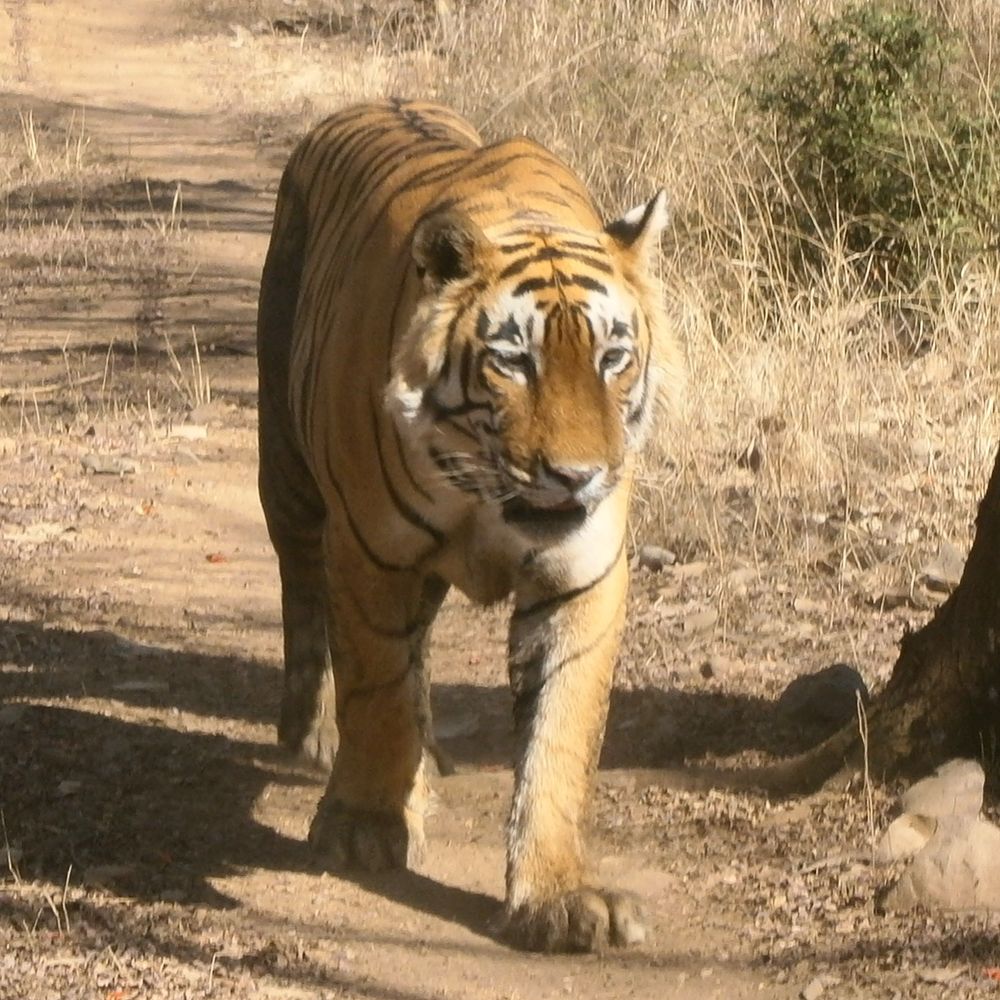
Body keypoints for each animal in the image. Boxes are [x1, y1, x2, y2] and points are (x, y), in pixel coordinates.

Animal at [257, 98, 682, 953]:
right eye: (513, 363)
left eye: (612, 358)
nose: (577, 475)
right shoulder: (371, 552)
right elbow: (377, 692)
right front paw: (363, 827)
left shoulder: (583, 575)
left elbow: (560, 735)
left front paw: (558, 896)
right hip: (287, 468)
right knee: (304, 593)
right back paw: (315, 734)